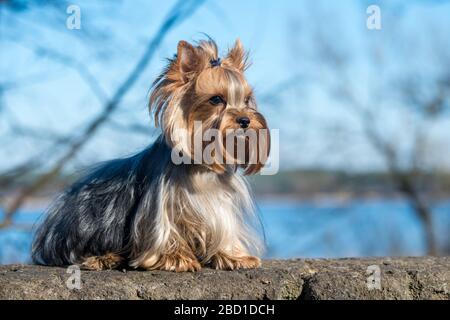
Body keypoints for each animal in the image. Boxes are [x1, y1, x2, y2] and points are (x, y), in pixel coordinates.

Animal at [33, 38, 270, 272]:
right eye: (216, 99)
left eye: (246, 100)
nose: (245, 120)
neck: (202, 167)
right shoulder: (160, 204)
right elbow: (165, 229)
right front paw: (175, 258)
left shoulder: (220, 203)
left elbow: (225, 227)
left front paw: (234, 257)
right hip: (88, 223)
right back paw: (104, 258)